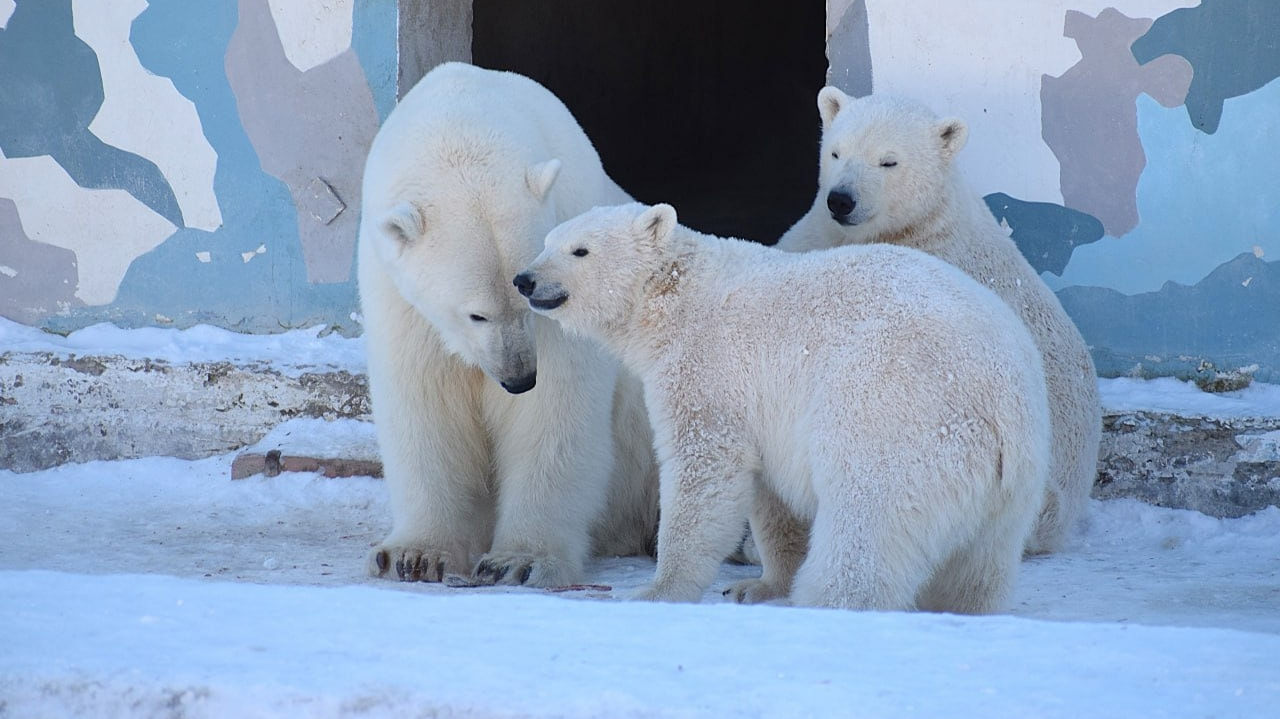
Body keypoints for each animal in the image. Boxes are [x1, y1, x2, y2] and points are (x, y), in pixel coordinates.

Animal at [360, 63, 660, 588]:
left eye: (528, 294)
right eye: (475, 314)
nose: (518, 378)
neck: (464, 118)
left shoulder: (570, 278)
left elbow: (553, 412)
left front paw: (518, 561)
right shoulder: (399, 299)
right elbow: (424, 404)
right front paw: (414, 556)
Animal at [512, 203, 1049, 608]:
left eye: (580, 249)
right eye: (547, 241)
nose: (524, 280)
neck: (676, 297)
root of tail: (1004, 397)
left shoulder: (710, 367)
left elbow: (703, 468)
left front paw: (658, 590)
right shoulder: (767, 408)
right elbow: (771, 496)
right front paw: (758, 585)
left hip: (894, 413)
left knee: (867, 519)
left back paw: (829, 599)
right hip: (1012, 486)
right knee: (980, 565)